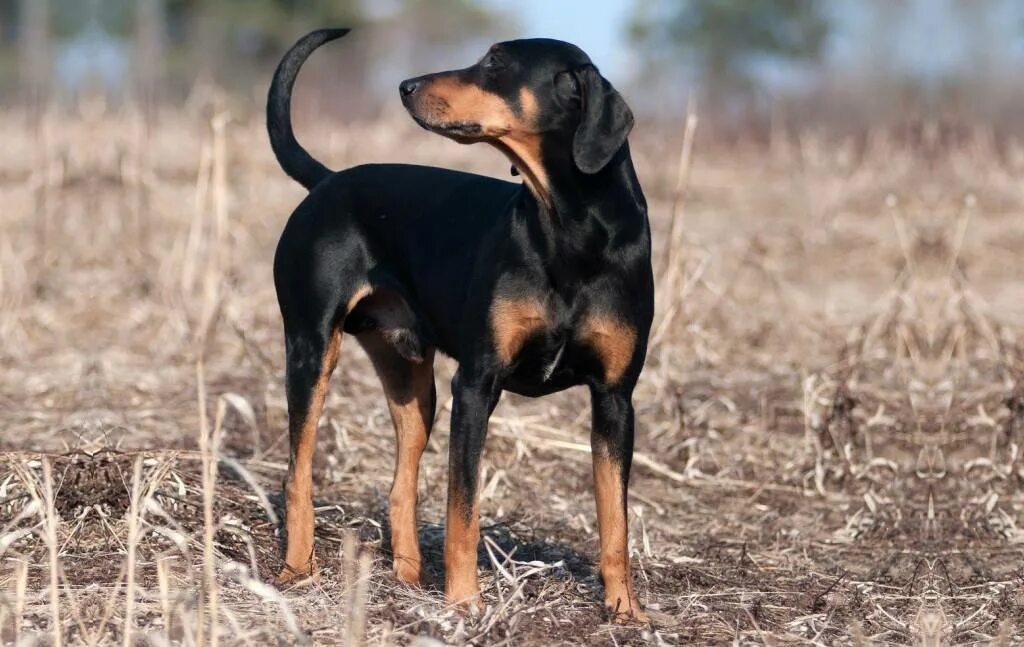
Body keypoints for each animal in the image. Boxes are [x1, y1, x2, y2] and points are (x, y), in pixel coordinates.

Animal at [268, 29, 651, 622]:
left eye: (495, 63)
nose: (406, 86)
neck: (571, 228)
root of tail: (328, 182)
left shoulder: (615, 399)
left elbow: (616, 520)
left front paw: (625, 610)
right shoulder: (476, 384)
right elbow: (462, 511)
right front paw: (466, 602)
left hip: (412, 382)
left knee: (400, 486)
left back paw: (408, 578)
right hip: (311, 352)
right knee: (297, 472)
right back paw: (297, 569)